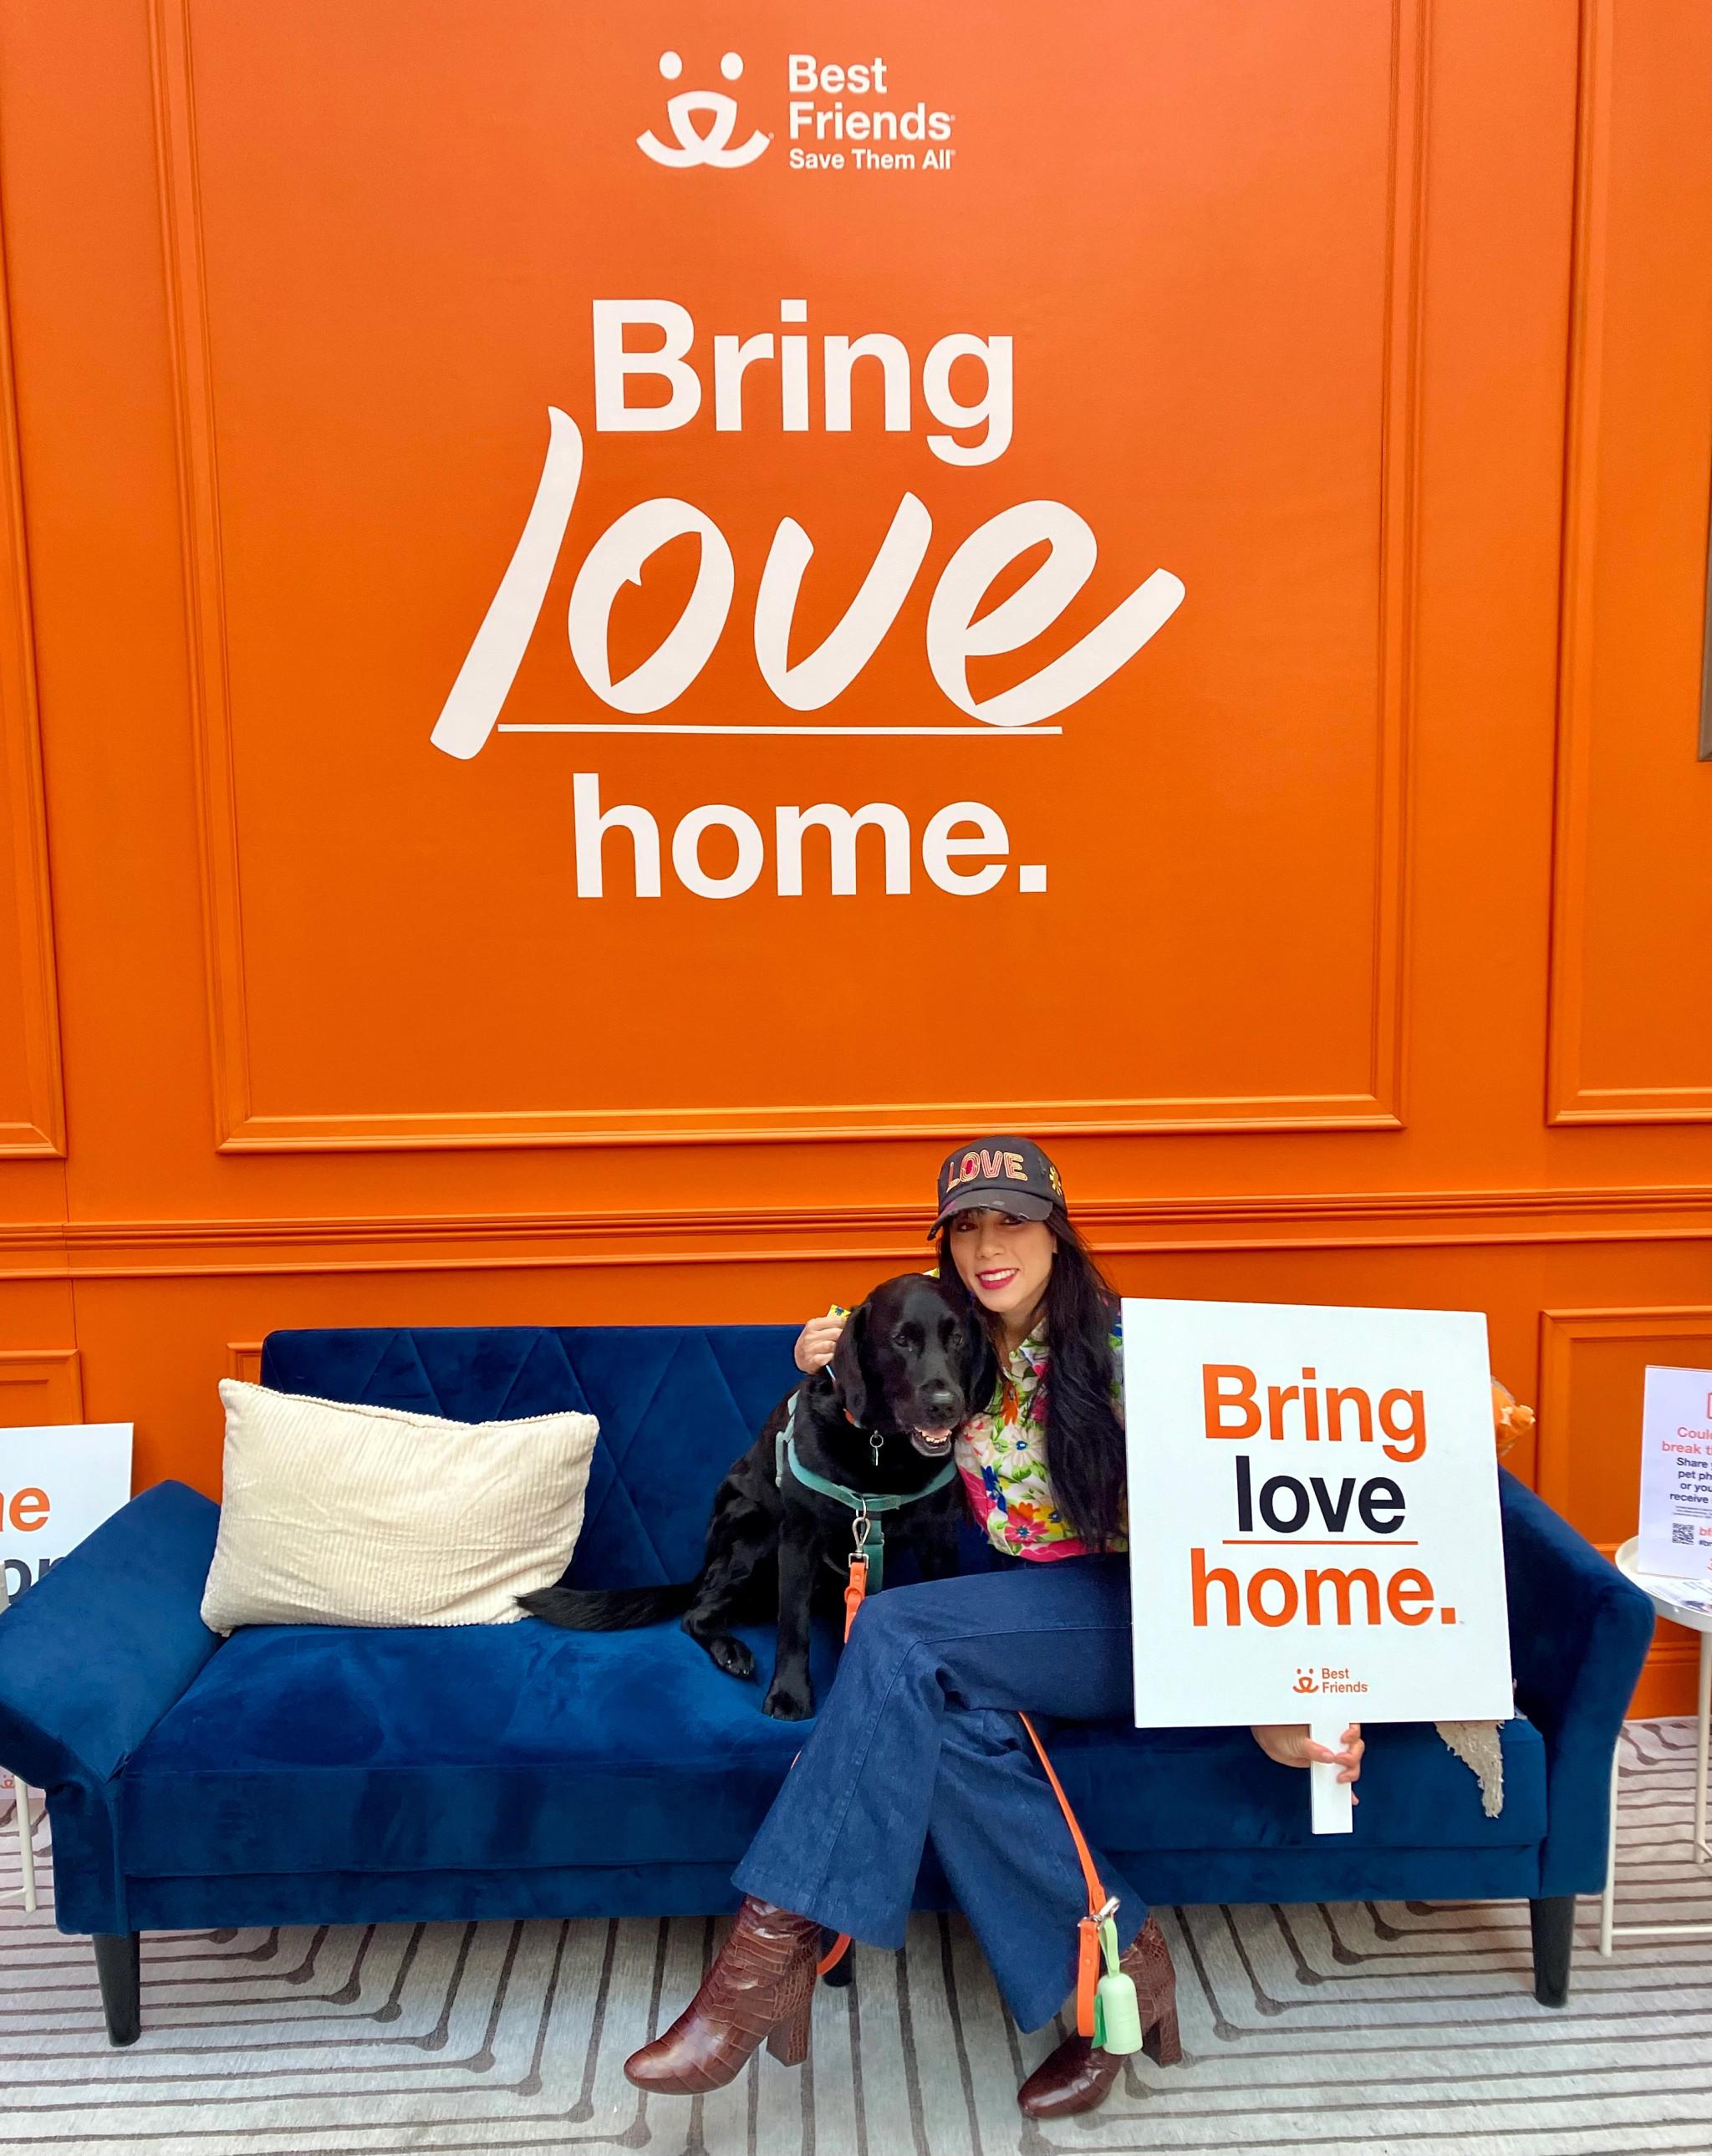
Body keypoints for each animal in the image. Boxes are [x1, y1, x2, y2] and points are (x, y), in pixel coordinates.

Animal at [519, 1274, 995, 1719]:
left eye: (956, 1339)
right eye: (901, 1340)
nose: (945, 1404)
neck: (880, 1447)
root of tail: (705, 1565)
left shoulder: (938, 1538)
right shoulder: (798, 1538)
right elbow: (793, 1628)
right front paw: (789, 1695)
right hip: (756, 1532)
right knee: (697, 1611)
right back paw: (731, 1650)